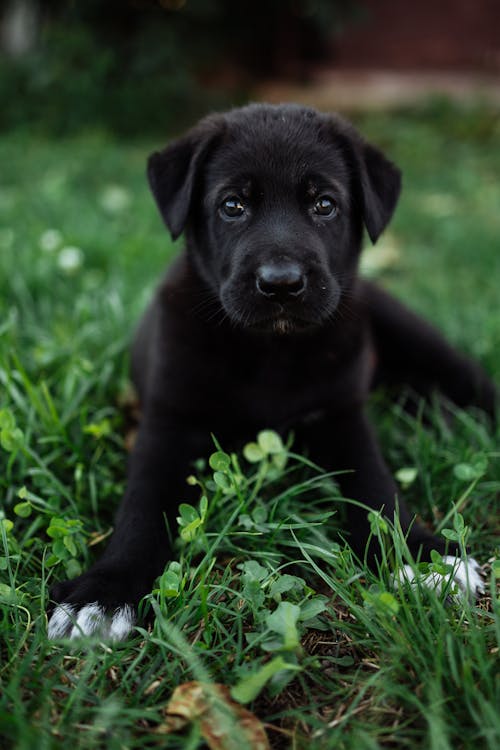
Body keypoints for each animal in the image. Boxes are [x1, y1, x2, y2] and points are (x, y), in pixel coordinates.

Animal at [48, 101, 494, 640]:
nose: (281, 283)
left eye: (324, 204)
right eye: (232, 205)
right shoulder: (166, 422)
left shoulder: (341, 415)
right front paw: (104, 594)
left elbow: (376, 489)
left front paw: (421, 556)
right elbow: (141, 507)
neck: (269, 351)